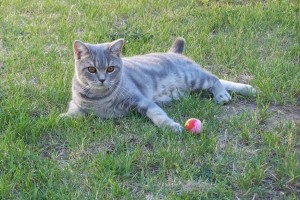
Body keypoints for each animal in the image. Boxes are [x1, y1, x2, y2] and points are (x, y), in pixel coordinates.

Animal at [60, 37, 255, 133]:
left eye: (110, 69)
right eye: (91, 69)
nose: (101, 79)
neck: (100, 98)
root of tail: (174, 53)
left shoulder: (141, 100)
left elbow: (157, 114)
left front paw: (170, 126)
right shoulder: (77, 103)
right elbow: (74, 111)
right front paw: (62, 117)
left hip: (192, 77)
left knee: (214, 78)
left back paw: (223, 94)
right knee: (220, 79)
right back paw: (248, 89)